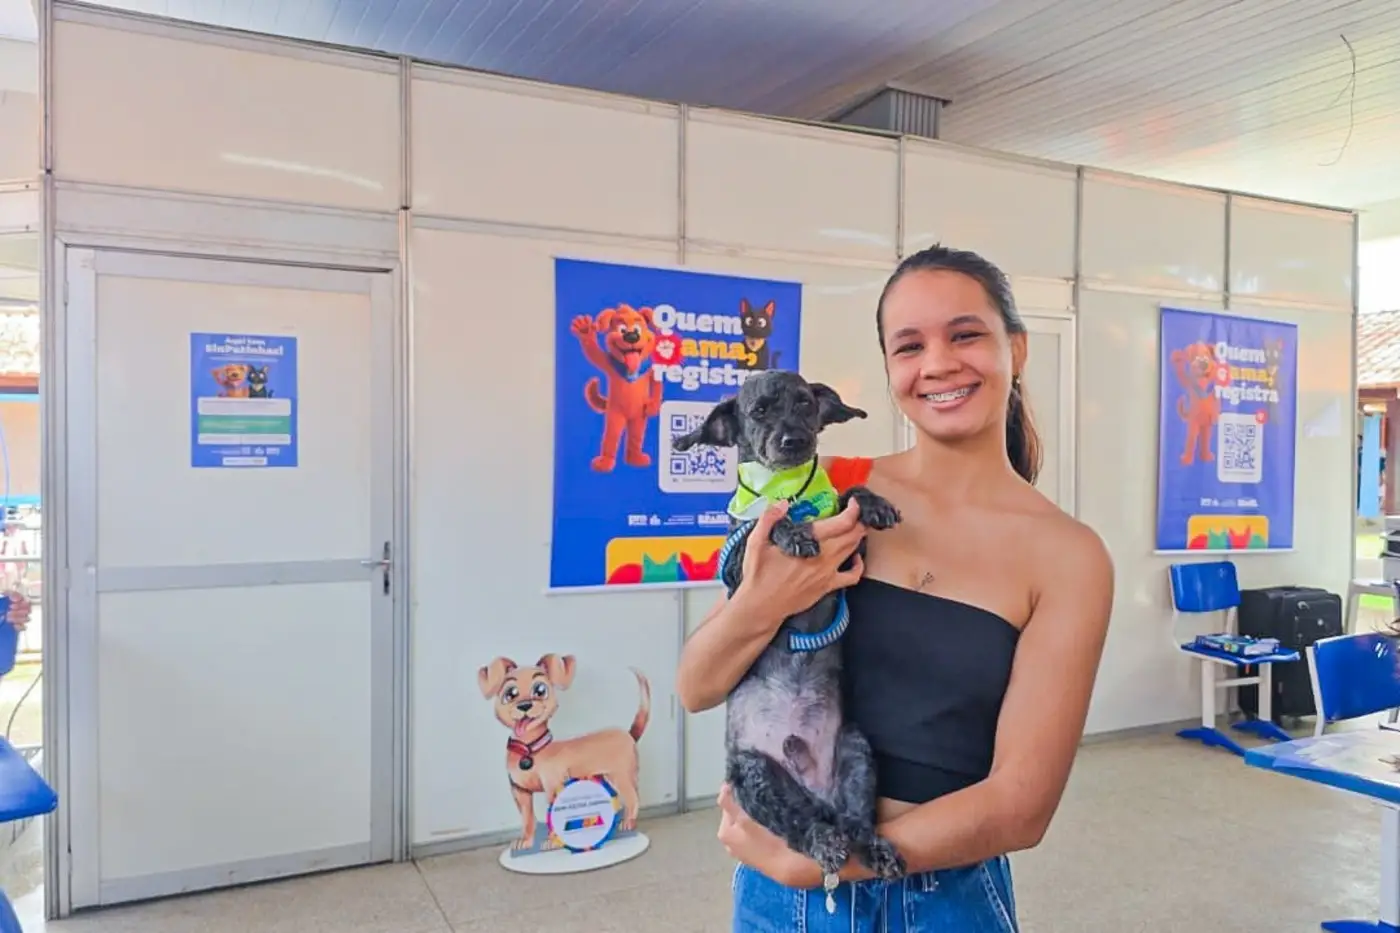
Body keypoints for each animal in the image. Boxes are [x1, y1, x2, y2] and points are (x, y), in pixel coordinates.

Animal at [478, 653, 651, 851]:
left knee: (633, 798)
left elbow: (553, 817)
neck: (529, 748)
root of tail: (630, 735)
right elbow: (528, 820)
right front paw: (526, 842)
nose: (524, 705)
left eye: (540, 690)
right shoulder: (520, 792)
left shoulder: (553, 786)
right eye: (510, 694)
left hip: (620, 776)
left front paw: (552, 842)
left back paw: (628, 823)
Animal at [571, 304, 665, 472]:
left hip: (638, 418)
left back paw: (636, 459)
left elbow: (656, 382)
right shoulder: (606, 362)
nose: (631, 336)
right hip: (615, 415)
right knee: (611, 436)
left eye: (637, 329)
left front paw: (653, 406)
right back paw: (604, 463)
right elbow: (593, 354)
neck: (630, 369)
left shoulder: (651, 370)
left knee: (636, 435)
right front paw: (584, 330)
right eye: (622, 329)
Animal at [673, 371, 906, 892]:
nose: (794, 440)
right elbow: (765, 521)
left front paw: (874, 503)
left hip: (856, 750)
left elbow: (849, 494)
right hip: (752, 775)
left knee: (857, 822)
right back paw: (823, 841)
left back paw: (875, 847)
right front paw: (789, 532)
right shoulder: (739, 570)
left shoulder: (851, 558)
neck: (795, 497)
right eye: (758, 411)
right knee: (801, 826)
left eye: (804, 404)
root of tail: (816, 791)